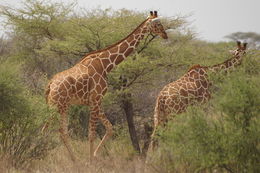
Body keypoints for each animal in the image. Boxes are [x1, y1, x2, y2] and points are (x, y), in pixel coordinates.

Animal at [46, 10, 169, 161]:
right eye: (158, 24)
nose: (165, 35)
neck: (105, 65)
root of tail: (50, 84)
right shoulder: (95, 99)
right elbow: (92, 133)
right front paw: (91, 161)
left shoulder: (96, 102)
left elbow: (110, 128)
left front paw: (94, 155)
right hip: (56, 105)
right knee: (47, 128)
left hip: (63, 106)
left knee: (61, 131)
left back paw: (74, 160)